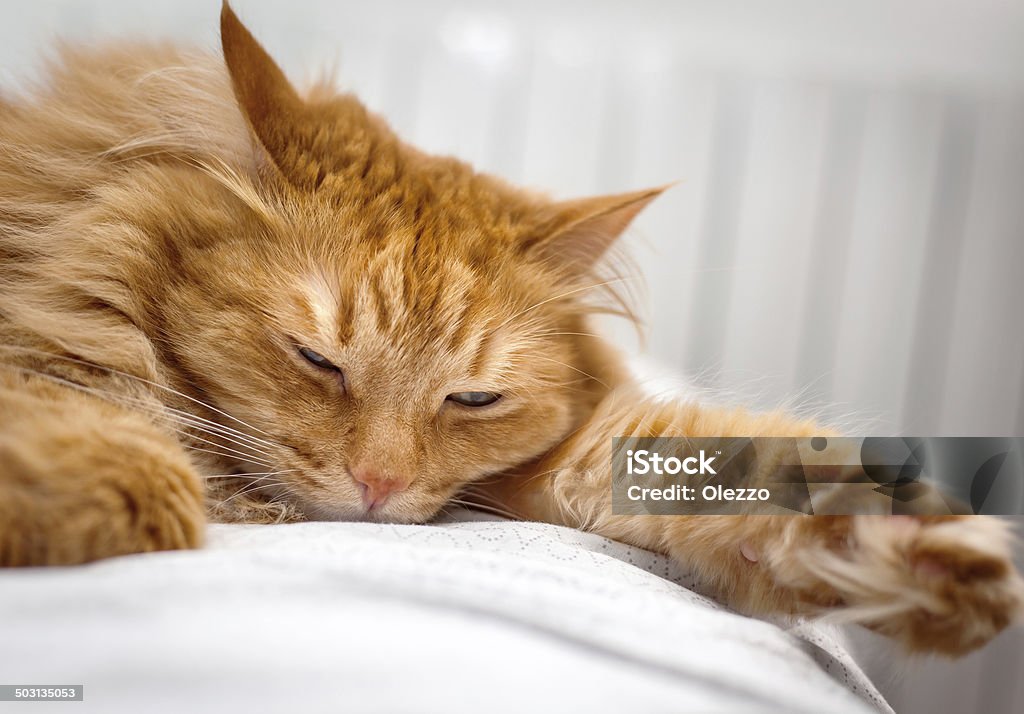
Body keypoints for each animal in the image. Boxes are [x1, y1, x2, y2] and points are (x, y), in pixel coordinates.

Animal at [0, 1, 1019, 655]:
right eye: (316, 360)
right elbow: (151, 477)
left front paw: (905, 551)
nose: (377, 486)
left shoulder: (567, 461)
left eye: (474, 399)